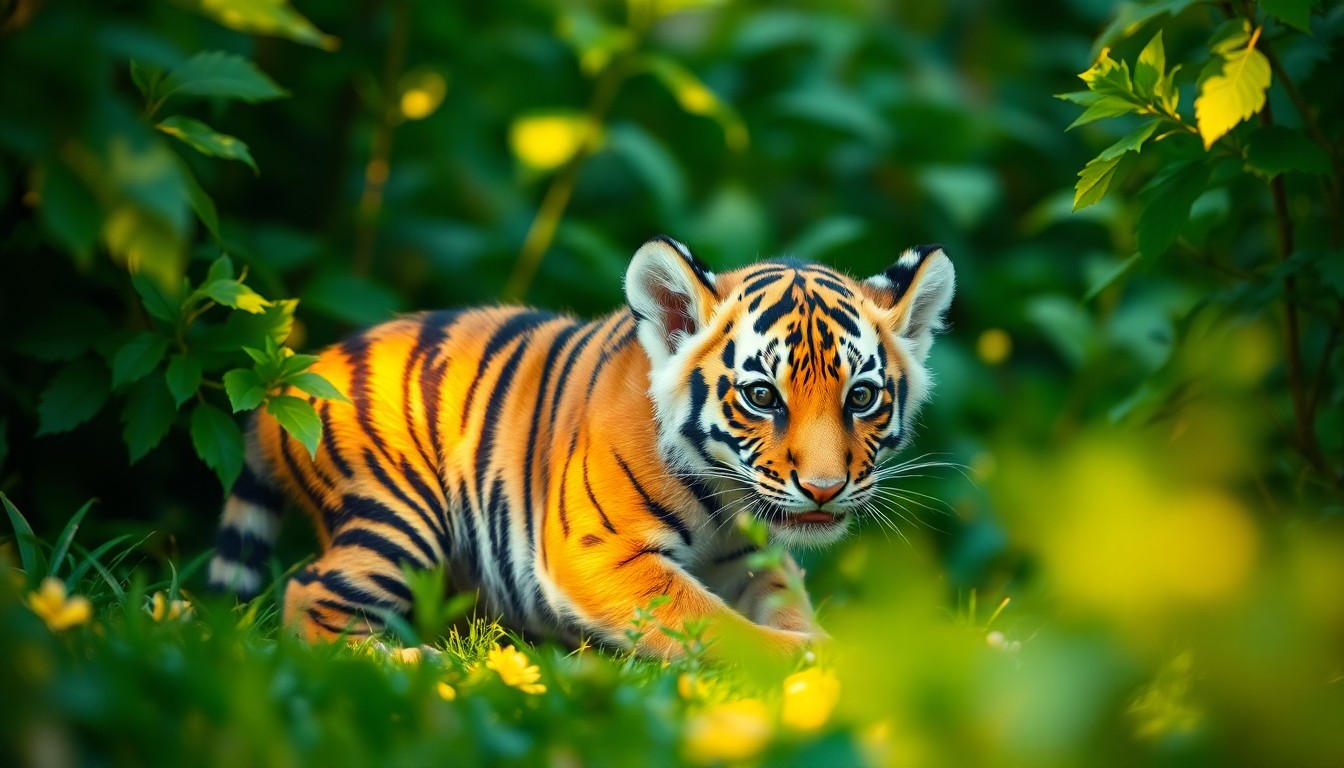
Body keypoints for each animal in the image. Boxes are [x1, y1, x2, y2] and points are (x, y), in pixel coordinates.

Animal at [207, 236, 955, 659]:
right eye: (762, 396)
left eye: (861, 397)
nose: (824, 490)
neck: (724, 499)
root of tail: (287, 380)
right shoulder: (602, 555)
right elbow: (716, 627)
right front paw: (820, 664)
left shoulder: (754, 560)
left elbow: (788, 608)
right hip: (397, 512)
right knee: (308, 597)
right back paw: (418, 665)